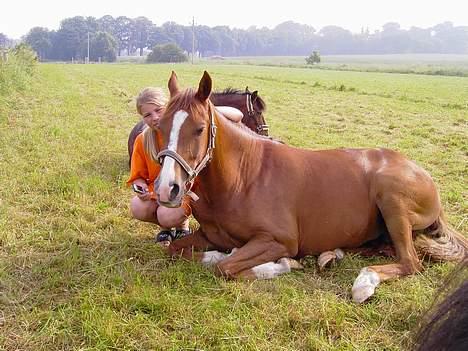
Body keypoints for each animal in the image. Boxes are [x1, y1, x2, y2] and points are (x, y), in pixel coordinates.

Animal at [154, 71, 468, 302]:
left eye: (199, 129)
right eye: (159, 127)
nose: (167, 188)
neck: (243, 177)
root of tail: (421, 172)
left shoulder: (279, 241)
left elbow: (226, 267)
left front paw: (281, 265)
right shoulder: (208, 235)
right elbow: (176, 250)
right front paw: (219, 253)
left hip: (391, 199)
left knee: (410, 262)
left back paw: (364, 282)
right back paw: (331, 255)